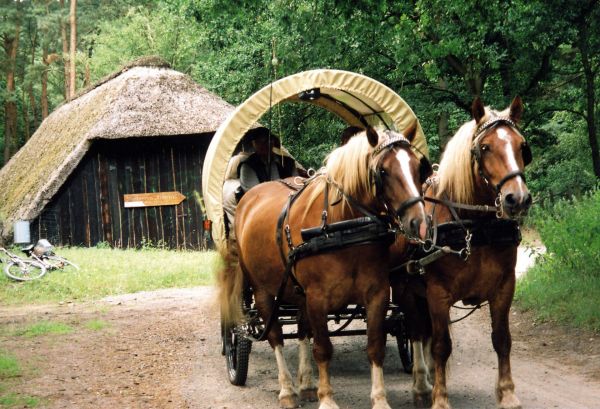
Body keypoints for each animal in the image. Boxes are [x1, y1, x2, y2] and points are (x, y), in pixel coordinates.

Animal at [219, 127, 431, 409]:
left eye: (419, 168)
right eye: (383, 171)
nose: (419, 223)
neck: (343, 227)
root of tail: (248, 198)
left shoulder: (377, 294)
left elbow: (375, 346)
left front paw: (379, 399)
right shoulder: (318, 298)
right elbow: (322, 348)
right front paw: (327, 399)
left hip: (297, 292)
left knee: (301, 330)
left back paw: (307, 384)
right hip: (263, 290)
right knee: (275, 336)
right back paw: (287, 390)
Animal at [391, 96, 532, 409]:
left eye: (521, 146)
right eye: (485, 147)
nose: (517, 199)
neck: (473, 228)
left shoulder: (504, 287)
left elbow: (502, 339)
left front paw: (508, 393)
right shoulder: (438, 293)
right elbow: (441, 345)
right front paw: (440, 398)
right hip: (406, 290)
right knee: (416, 331)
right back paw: (422, 385)